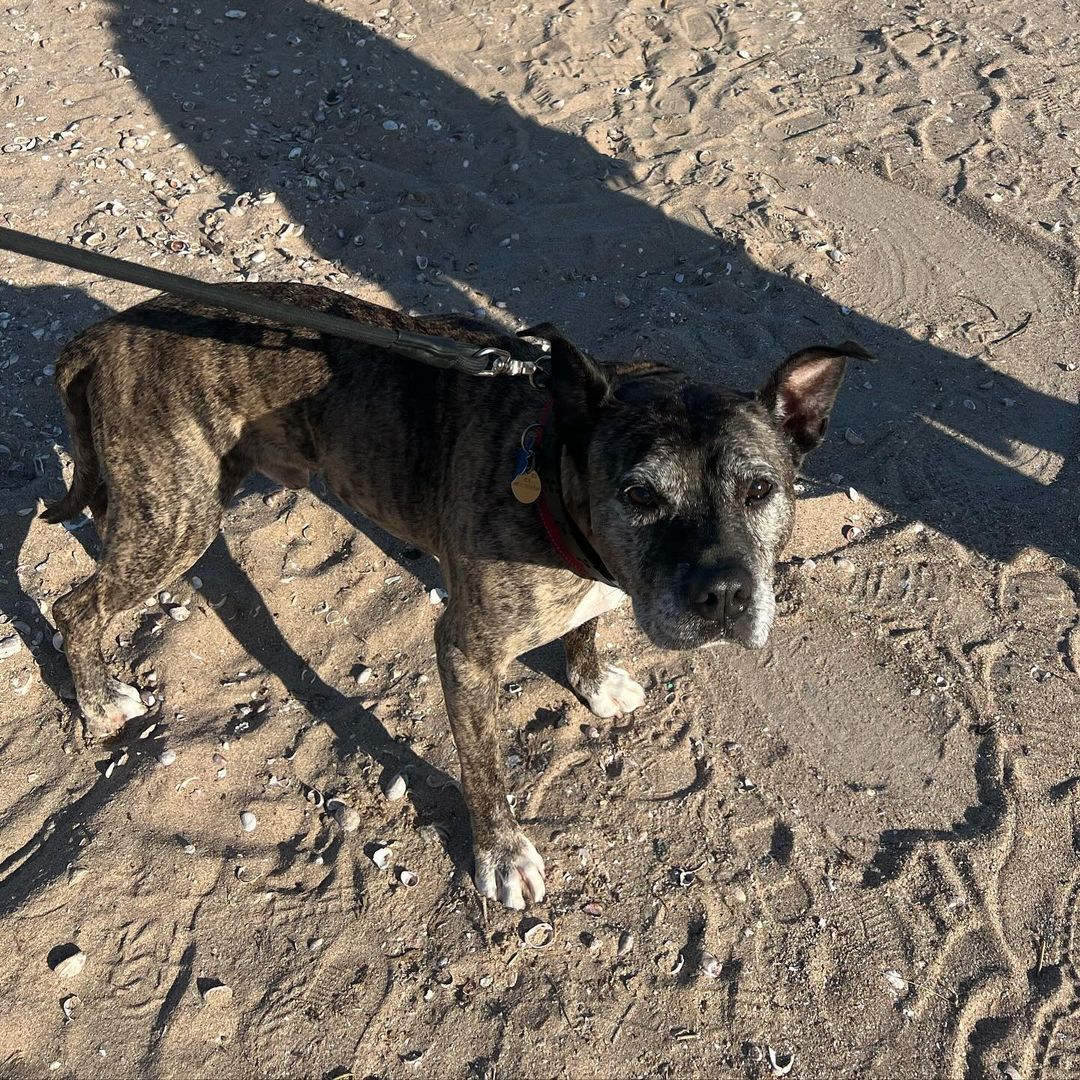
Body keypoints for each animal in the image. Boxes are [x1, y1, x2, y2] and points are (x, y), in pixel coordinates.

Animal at [46, 282, 864, 907]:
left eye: (761, 490)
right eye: (638, 495)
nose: (724, 593)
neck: (555, 480)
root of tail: (107, 332)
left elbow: (586, 628)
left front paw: (593, 680)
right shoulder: (468, 653)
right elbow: (485, 769)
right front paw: (501, 856)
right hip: (177, 521)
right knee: (72, 608)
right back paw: (98, 701)